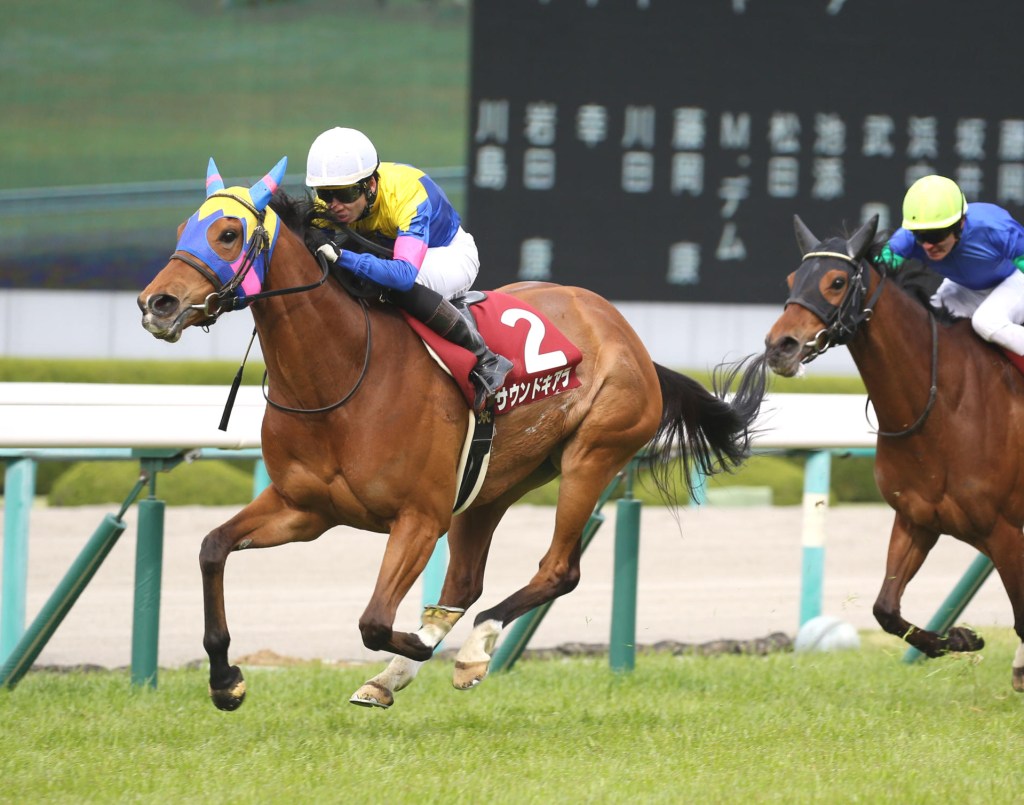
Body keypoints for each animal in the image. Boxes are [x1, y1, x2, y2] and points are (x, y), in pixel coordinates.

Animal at [137, 157, 768, 711]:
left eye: (227, 233)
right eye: (183, 229)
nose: (155, 303)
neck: (340, 374)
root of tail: (626, 334)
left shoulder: (419, 517)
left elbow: (374, 621)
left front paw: (421, 647)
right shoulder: (303, 508)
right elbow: (212, 548)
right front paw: (226, 681)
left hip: (592, 455)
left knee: (557, 570)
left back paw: (472, 650)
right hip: (494, 483)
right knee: (465, 583)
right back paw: (401, 671)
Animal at [764, 213, 1024, 690]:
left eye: (836, 281)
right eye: (793, 278)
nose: (780, 346)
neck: (943, 405)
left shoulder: (1004, 530)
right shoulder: (916, 519)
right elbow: (885, 609)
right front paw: (957, 638)